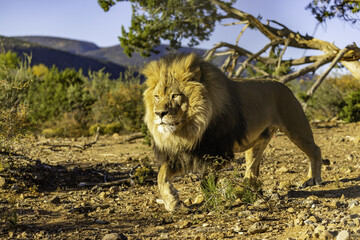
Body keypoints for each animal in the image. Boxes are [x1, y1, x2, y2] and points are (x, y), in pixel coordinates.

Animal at [142, 53, 322, 212]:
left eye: (175, 95)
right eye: (157, 97)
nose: (159, 113)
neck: (190, 130)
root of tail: (283, 85)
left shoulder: (218, 154)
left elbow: (206, 181)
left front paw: (204, 199)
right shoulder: (183, 155)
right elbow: (161, 176)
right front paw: (171, 201)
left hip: (295, 127)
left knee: (315, 149)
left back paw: (313, 178)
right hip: (257, 142)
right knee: (252, 169)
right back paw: (246, 188)